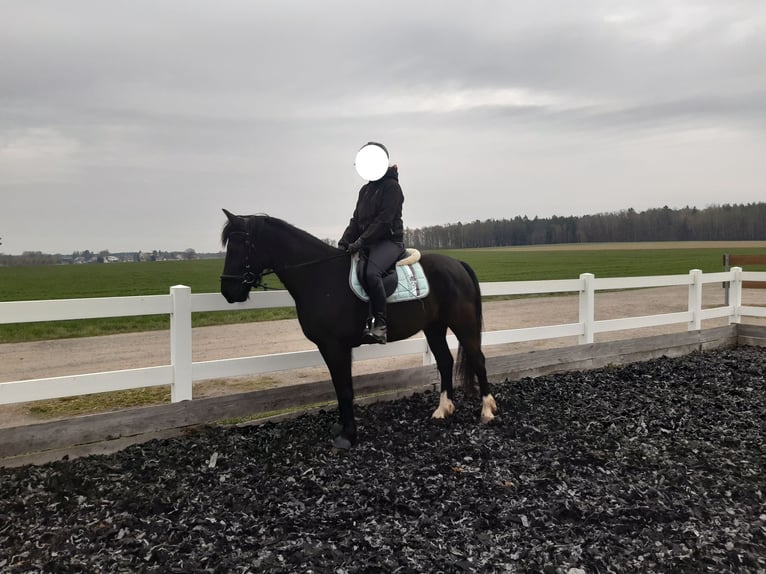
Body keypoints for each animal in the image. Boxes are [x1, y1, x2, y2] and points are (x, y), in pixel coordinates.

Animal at [219, 210, 497, 449]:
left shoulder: (335, 346)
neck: (319, 275)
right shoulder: (329, 347)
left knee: (478, 359)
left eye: (238, 246)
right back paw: (442, 409)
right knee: (445, 361)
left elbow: (344, 389)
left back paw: (486, 411)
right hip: (434, 326)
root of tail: (458, 263)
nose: (228, 291)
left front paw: (348, 436)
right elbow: (339, 385)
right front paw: (341, 427)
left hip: (462, 323)